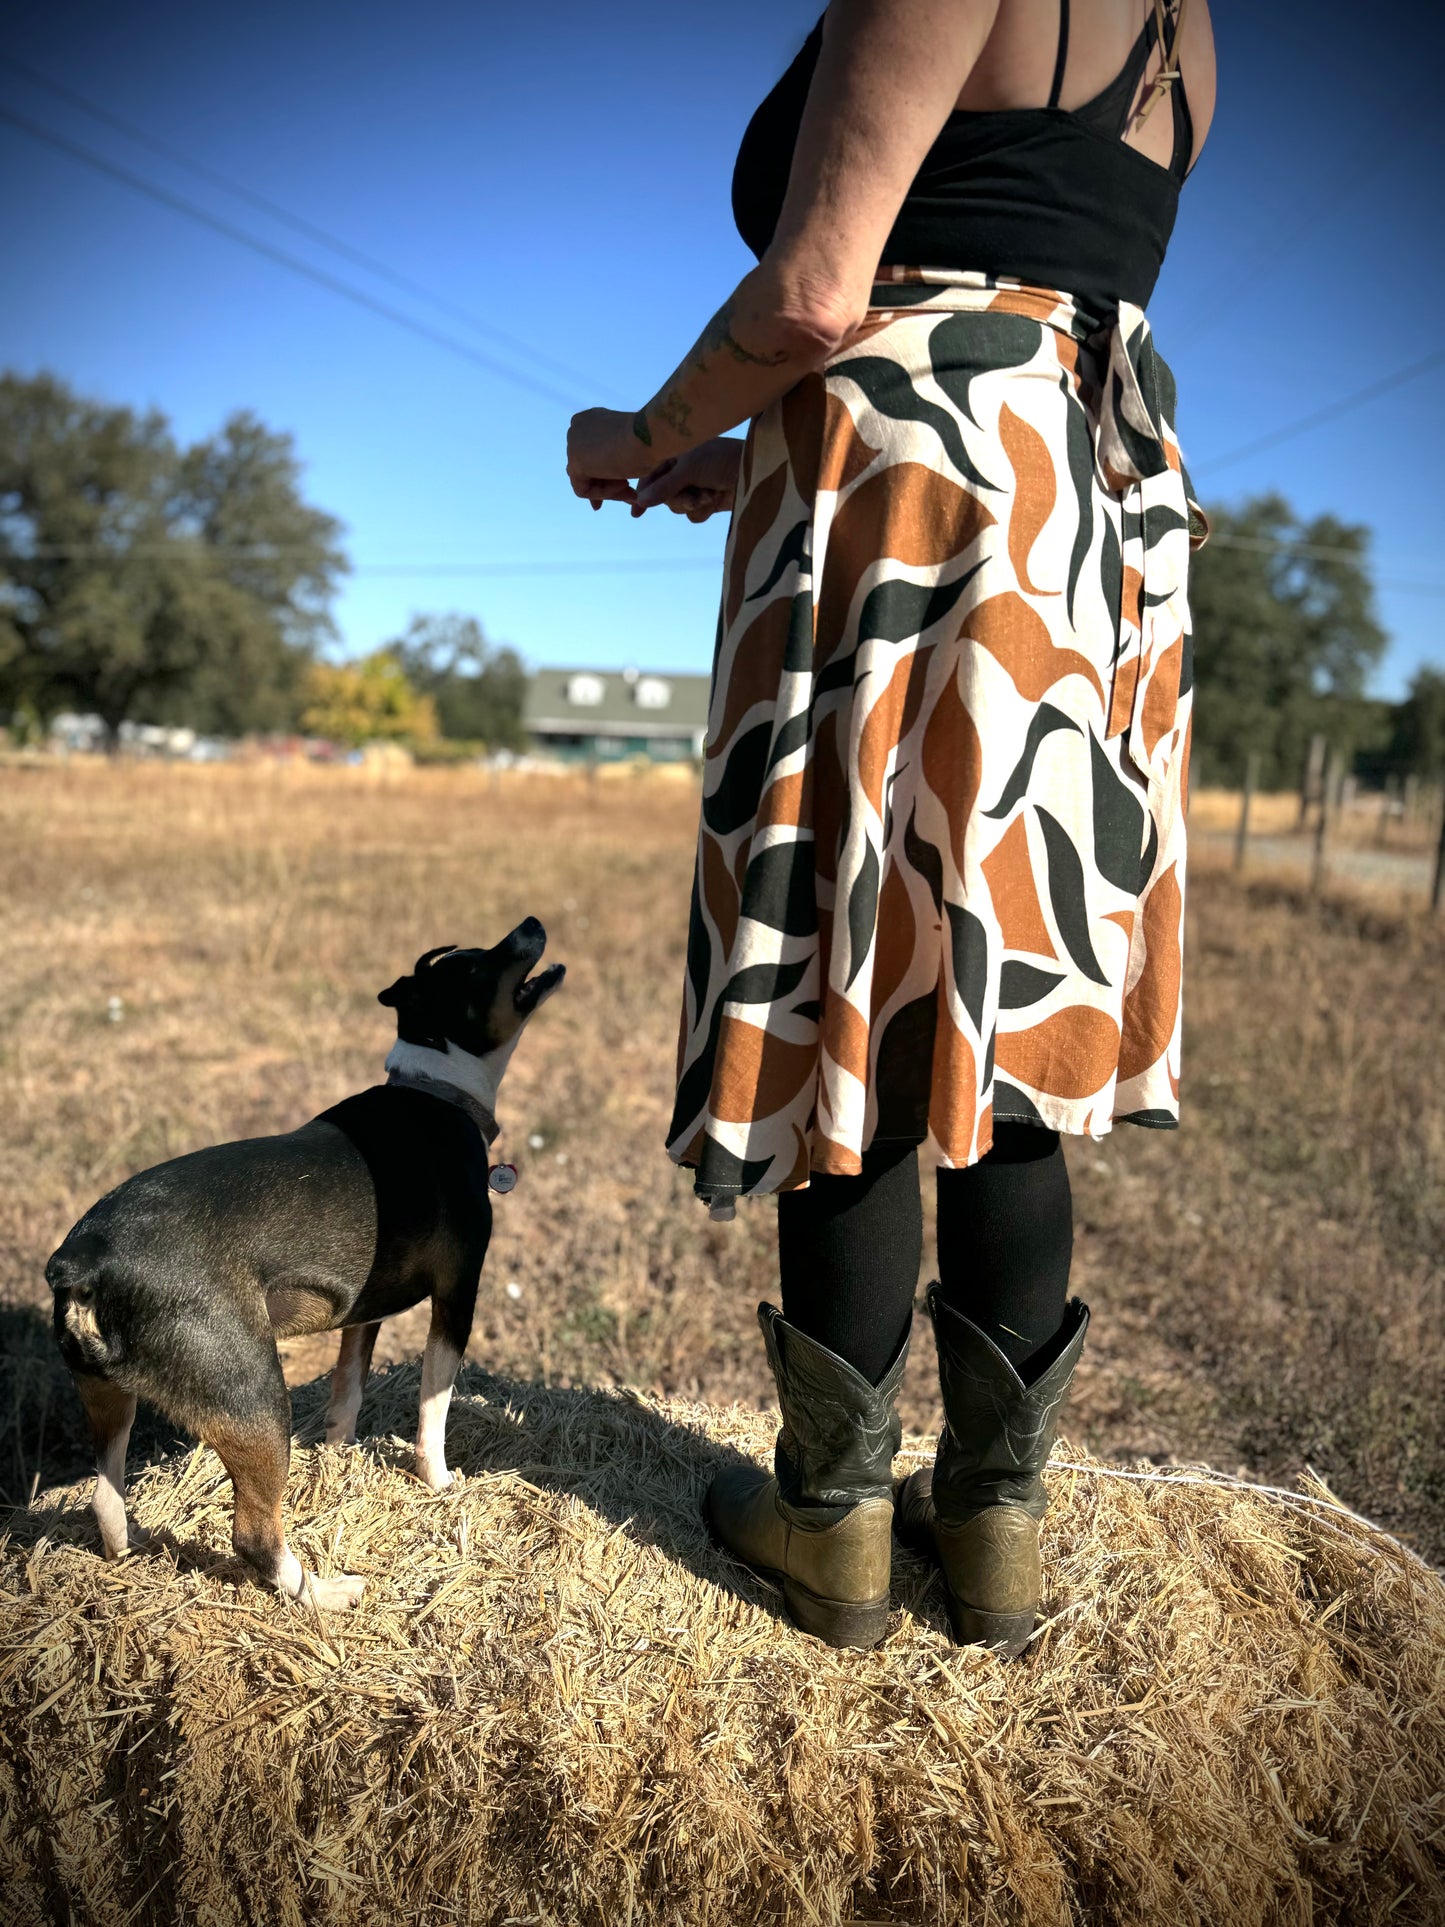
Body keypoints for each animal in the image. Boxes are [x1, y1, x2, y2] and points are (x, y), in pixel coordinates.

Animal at [46, 917, 566, 1610]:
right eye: (484, 964)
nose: (531, 924)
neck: (438, 1088)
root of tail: (84, 1262)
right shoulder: (459, 1294)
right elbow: (434, 1405)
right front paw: (438, 1481)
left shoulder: (363, 1311)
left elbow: (348, 1389)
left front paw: (340, 1456)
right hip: (258, 1402)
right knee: (253, 1536)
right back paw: (325, 1593)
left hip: (108, 1396)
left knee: (106, 1498)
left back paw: (129, 1555)